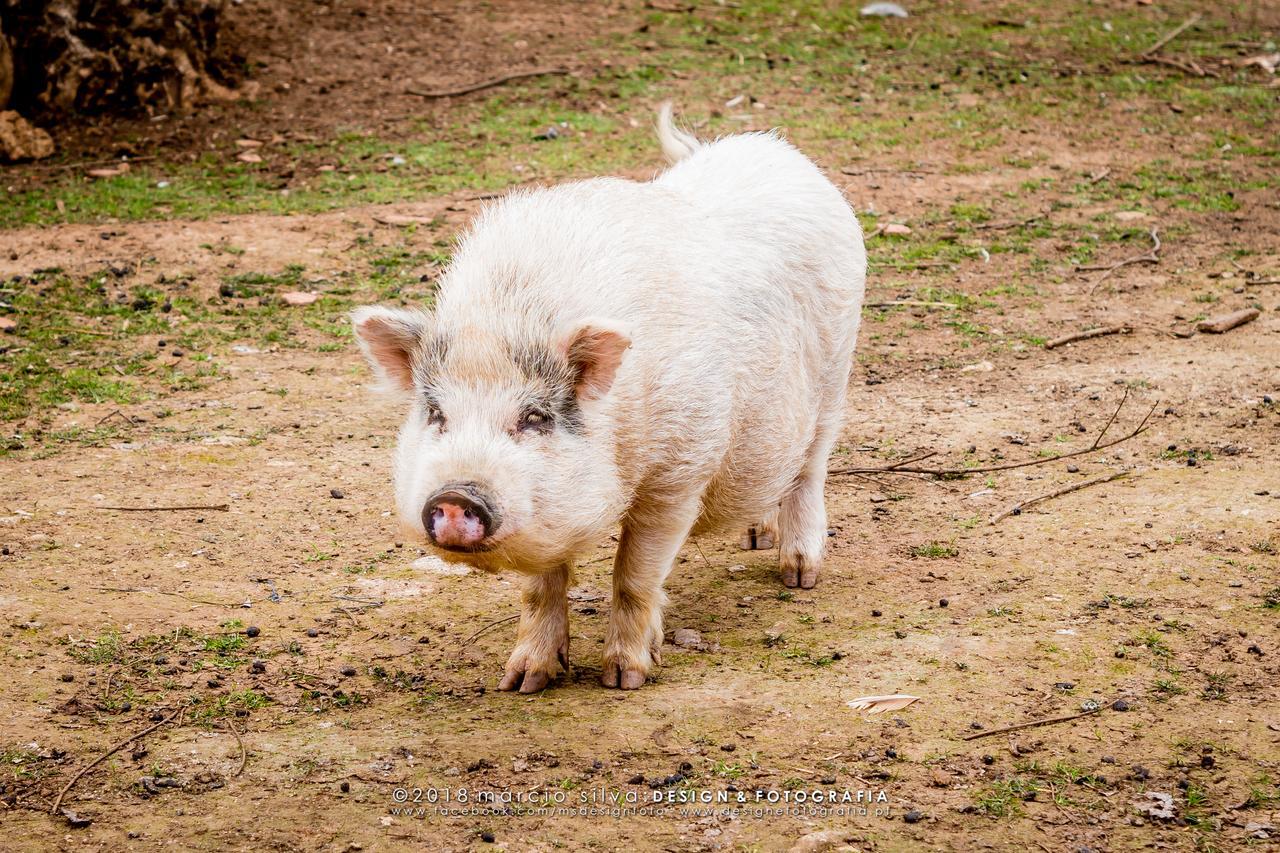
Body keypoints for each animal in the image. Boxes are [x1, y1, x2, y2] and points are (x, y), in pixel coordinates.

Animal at [355, 103, 865, 691]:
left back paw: (799, 574)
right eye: (436, 413)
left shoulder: (679, 472)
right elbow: (540, 588)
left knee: (810, 469)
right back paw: (755, 537)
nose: (458, 497)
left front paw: (625, 678)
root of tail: (776, 150)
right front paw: (522, 682)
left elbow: (634, 575)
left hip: (835, 373)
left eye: (535, 417)